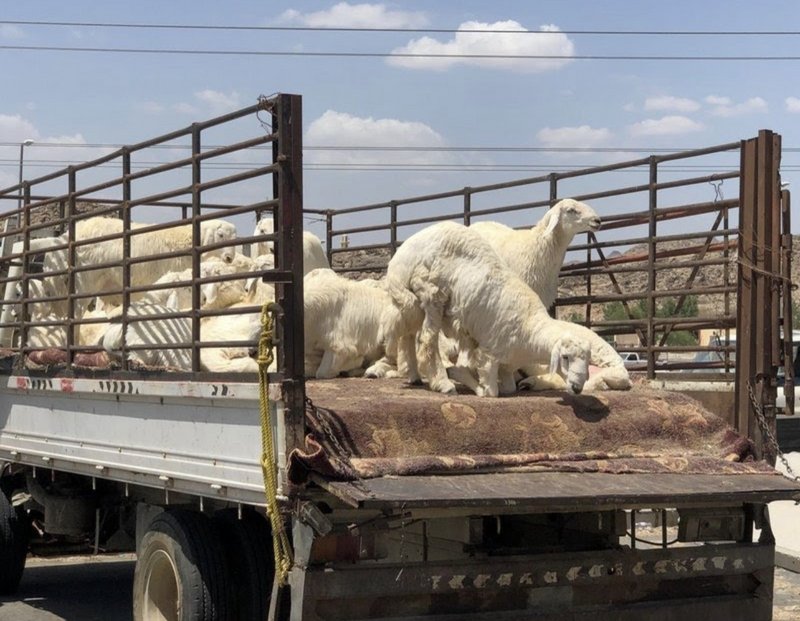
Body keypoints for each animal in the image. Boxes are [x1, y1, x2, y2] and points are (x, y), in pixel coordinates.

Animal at [366, 222, 592, 398]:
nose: (577, 388)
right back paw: (442, 382)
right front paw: (460, 374)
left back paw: (414, 375)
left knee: (409, 333)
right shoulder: (490, 354)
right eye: (565, 357)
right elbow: (490, 392)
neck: (530, 329)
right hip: (431, 292)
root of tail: (402, 254)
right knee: (427, 340)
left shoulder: (507, 363)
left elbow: (509, 388)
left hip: (414, 300)